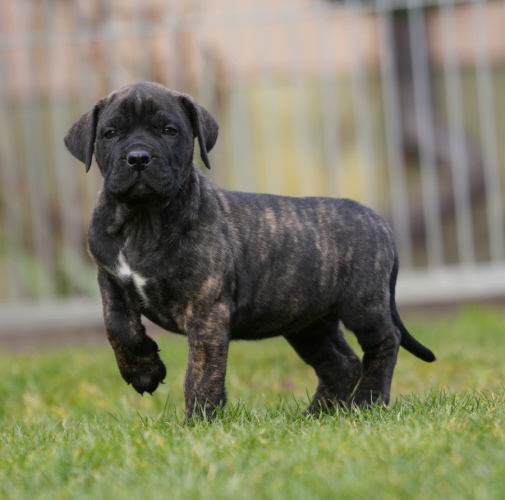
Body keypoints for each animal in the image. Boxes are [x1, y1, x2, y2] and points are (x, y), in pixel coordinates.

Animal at [65, 81, 435, 419]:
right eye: (111, 133)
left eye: (169, 130)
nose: (139, 158)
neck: (143, 219)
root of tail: (379, 220)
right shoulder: (110, 279)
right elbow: (117, 326)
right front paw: (144, 372)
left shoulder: (207, 309)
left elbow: (201, 370)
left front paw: (200, 420)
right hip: (307, 322)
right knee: (341, 362)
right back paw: (318, 414)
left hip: (363, 303)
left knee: (383, 343)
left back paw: (367, 402)